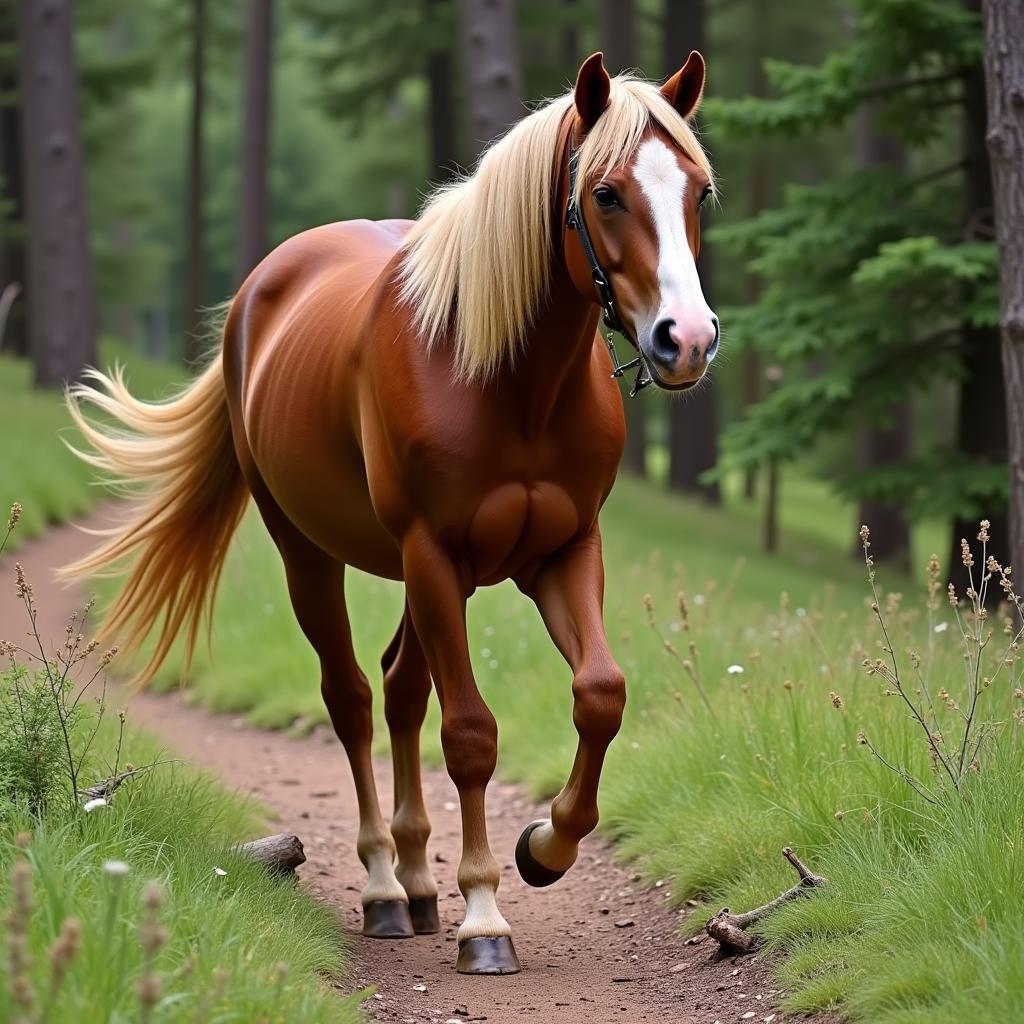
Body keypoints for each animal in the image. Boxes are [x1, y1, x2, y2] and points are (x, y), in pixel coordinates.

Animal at [64, 49, 720, 974]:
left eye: (698, 191)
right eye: (607, 194)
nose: (684, 339)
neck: (507, 378)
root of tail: (261, 290)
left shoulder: (562, 554)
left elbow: (599, 694)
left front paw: (544, 847)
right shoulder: (433, 554)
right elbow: (471, 734)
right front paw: (485, 915)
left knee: (402, 688)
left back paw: (416, 880)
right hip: (313, 555)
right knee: (352, 698)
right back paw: (382, 884)